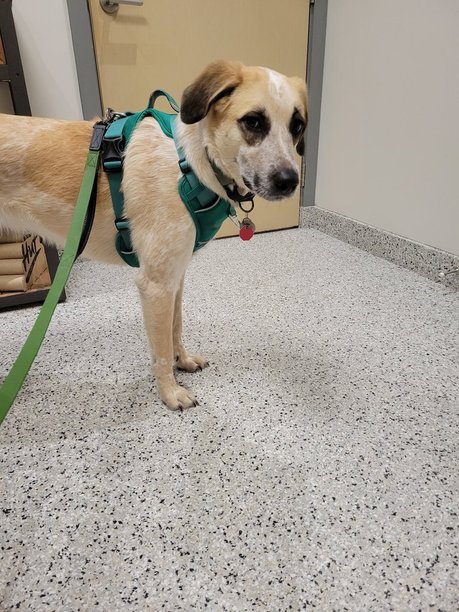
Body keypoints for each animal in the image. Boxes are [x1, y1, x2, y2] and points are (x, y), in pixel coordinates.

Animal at [0, 61, 310, 412]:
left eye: (297, 125)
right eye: (253, 121)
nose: (289, 181)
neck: (192, 164)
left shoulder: (175, 277)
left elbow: (175, 329)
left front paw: (183, 361)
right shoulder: (156, 285)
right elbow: (161, 350)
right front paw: (170, 392)